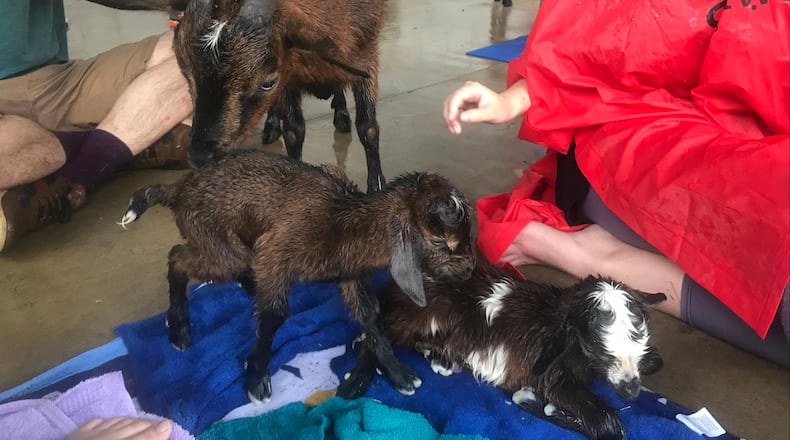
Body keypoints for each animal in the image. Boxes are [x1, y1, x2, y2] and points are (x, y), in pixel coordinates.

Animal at [118, 149, 476, 403]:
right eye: (440, 242)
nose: (471, 269)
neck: (342, 222)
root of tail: (179, 189)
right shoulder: (276, 253)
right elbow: (275, 315)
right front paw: (256, 377)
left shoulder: (350, 275)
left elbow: (371, 316)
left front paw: (400, 374)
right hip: (217, 244)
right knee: (178, 257)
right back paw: (179, 328)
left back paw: (248, 287)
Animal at [172, 0, 387, 193]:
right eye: (185, 73)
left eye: (268, 83)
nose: (199, 157)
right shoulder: (291, 77)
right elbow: (293, 131)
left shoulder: (366, 57)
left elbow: (367, 127)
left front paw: (377, 186)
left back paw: (341, 115)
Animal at [339, 263, 665, 440]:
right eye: (598, 349)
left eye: (641, 345)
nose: (631, 390)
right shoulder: (552, 376)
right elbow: (610, 426)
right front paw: (534, 401)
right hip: (424, 314)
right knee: (378, 332)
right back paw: (367, 381)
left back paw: (440, 359)